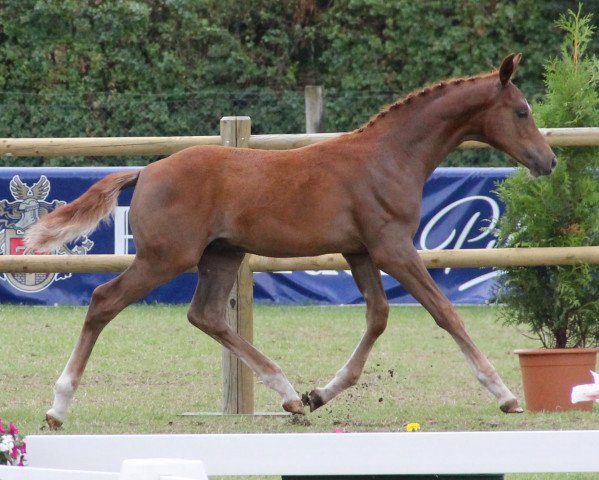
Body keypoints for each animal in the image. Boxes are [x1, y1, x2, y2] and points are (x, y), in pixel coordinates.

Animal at [25, 53, 556, 428]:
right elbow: (445, 312)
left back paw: (288, 396)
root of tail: (146, 171)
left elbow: (378, 317)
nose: (548, 161)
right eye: (521, 111)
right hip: (165, 257)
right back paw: (58, 406)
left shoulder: (360, 250)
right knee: (103, 300)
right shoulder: (392, 248)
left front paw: (318, 395)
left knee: (206, 314)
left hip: (222, 254)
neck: (389, 157)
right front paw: (506, 394)